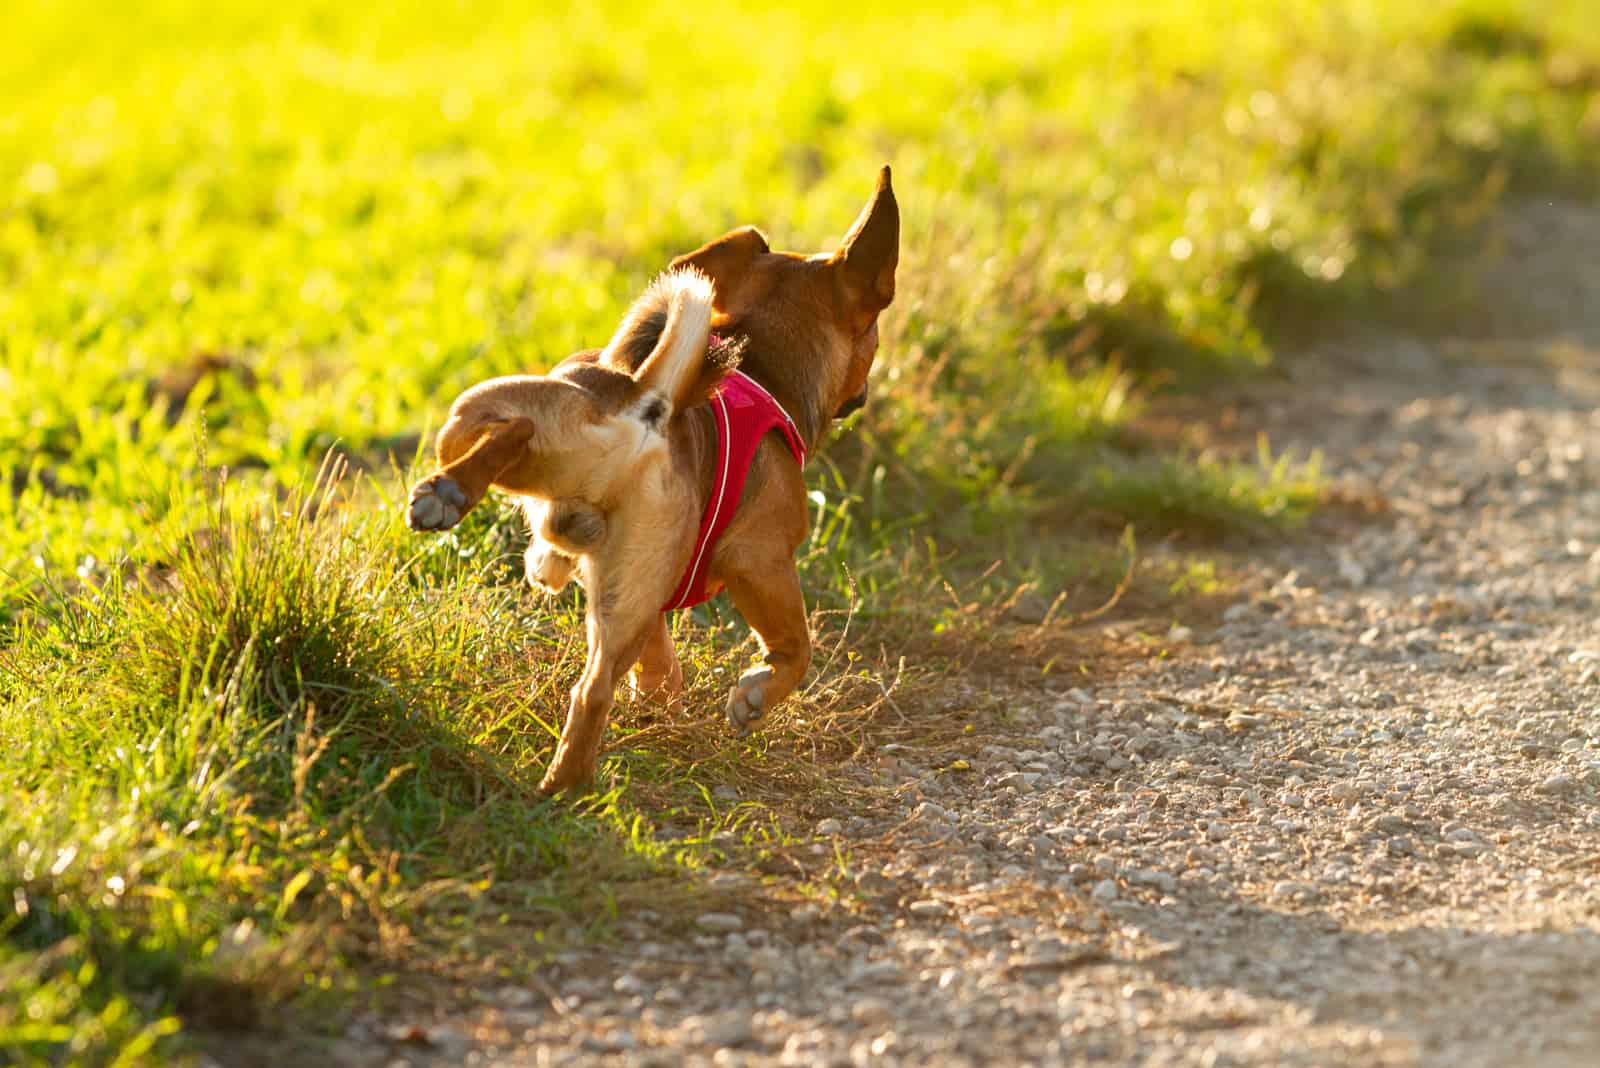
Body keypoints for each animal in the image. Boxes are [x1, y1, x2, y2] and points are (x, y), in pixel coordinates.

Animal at [403, 164, 902, 783]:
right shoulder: (761, 558)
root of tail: (648, 403)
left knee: (591, 688)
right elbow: (797, 647)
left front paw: (657, 687)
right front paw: (755, 696)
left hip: (490, 426)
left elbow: (660, 657)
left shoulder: (645, 588)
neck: (760, 366)